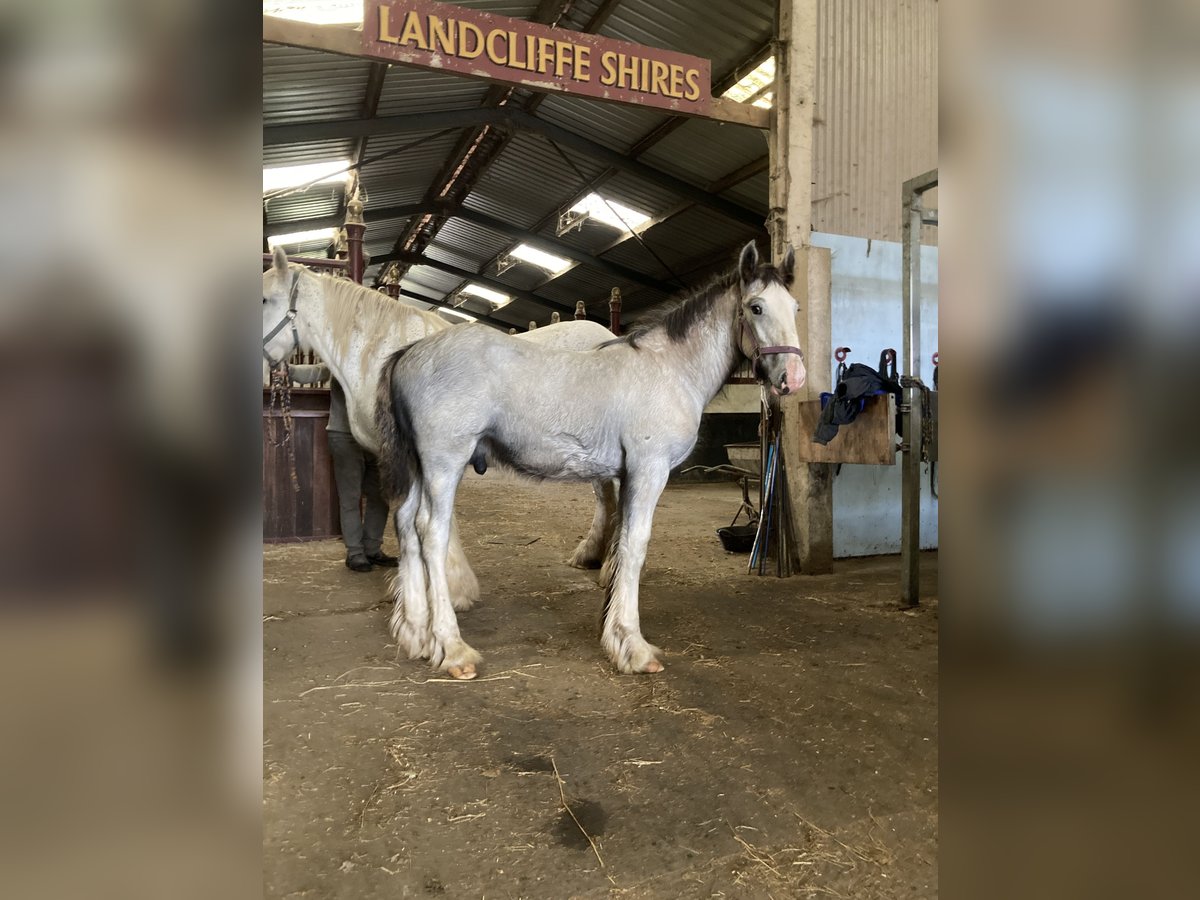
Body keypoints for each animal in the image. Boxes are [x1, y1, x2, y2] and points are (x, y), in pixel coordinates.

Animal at [374, 243, 806, 681]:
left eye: (795, 307)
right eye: (756, 307)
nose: (795, 376)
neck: (668, 369)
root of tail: (408, 354)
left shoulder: (627, 475)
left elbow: (621, 540)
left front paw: (613, 630)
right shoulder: (649, 470)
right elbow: (635, 545)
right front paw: (633, 646)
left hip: (418, 468)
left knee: (406, 525)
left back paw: (416, 633)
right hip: (443, 463)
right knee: (431, 532)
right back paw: (451, 647)